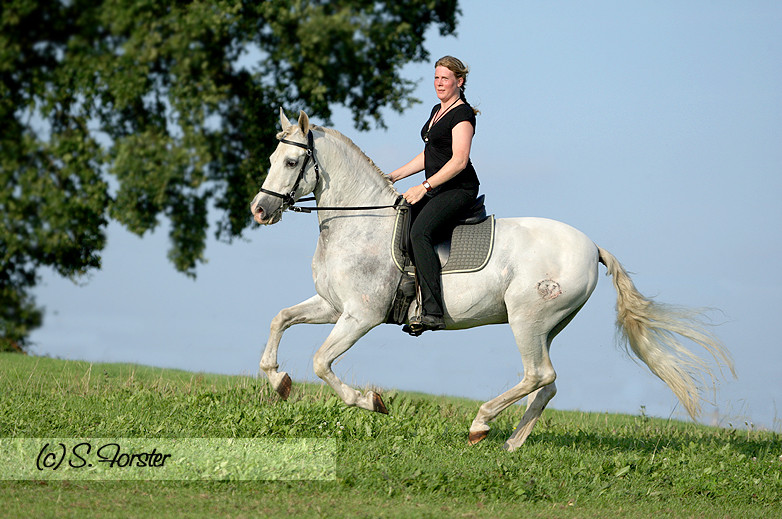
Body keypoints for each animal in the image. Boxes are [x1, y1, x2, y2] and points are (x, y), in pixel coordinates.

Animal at [251, 108, 736, 450]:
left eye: (291, 161)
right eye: (273, 157)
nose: (259, 210)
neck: (359, 223)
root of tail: (591, 246)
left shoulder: (361, 316)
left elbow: (321, 362)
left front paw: (371, 401)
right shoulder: (334, 307)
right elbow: (279, 319)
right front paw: (278, 381)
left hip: (527, 319)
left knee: (538, 374)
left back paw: (481, 423)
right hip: (547, 326)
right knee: (547, 383)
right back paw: (511, 443)